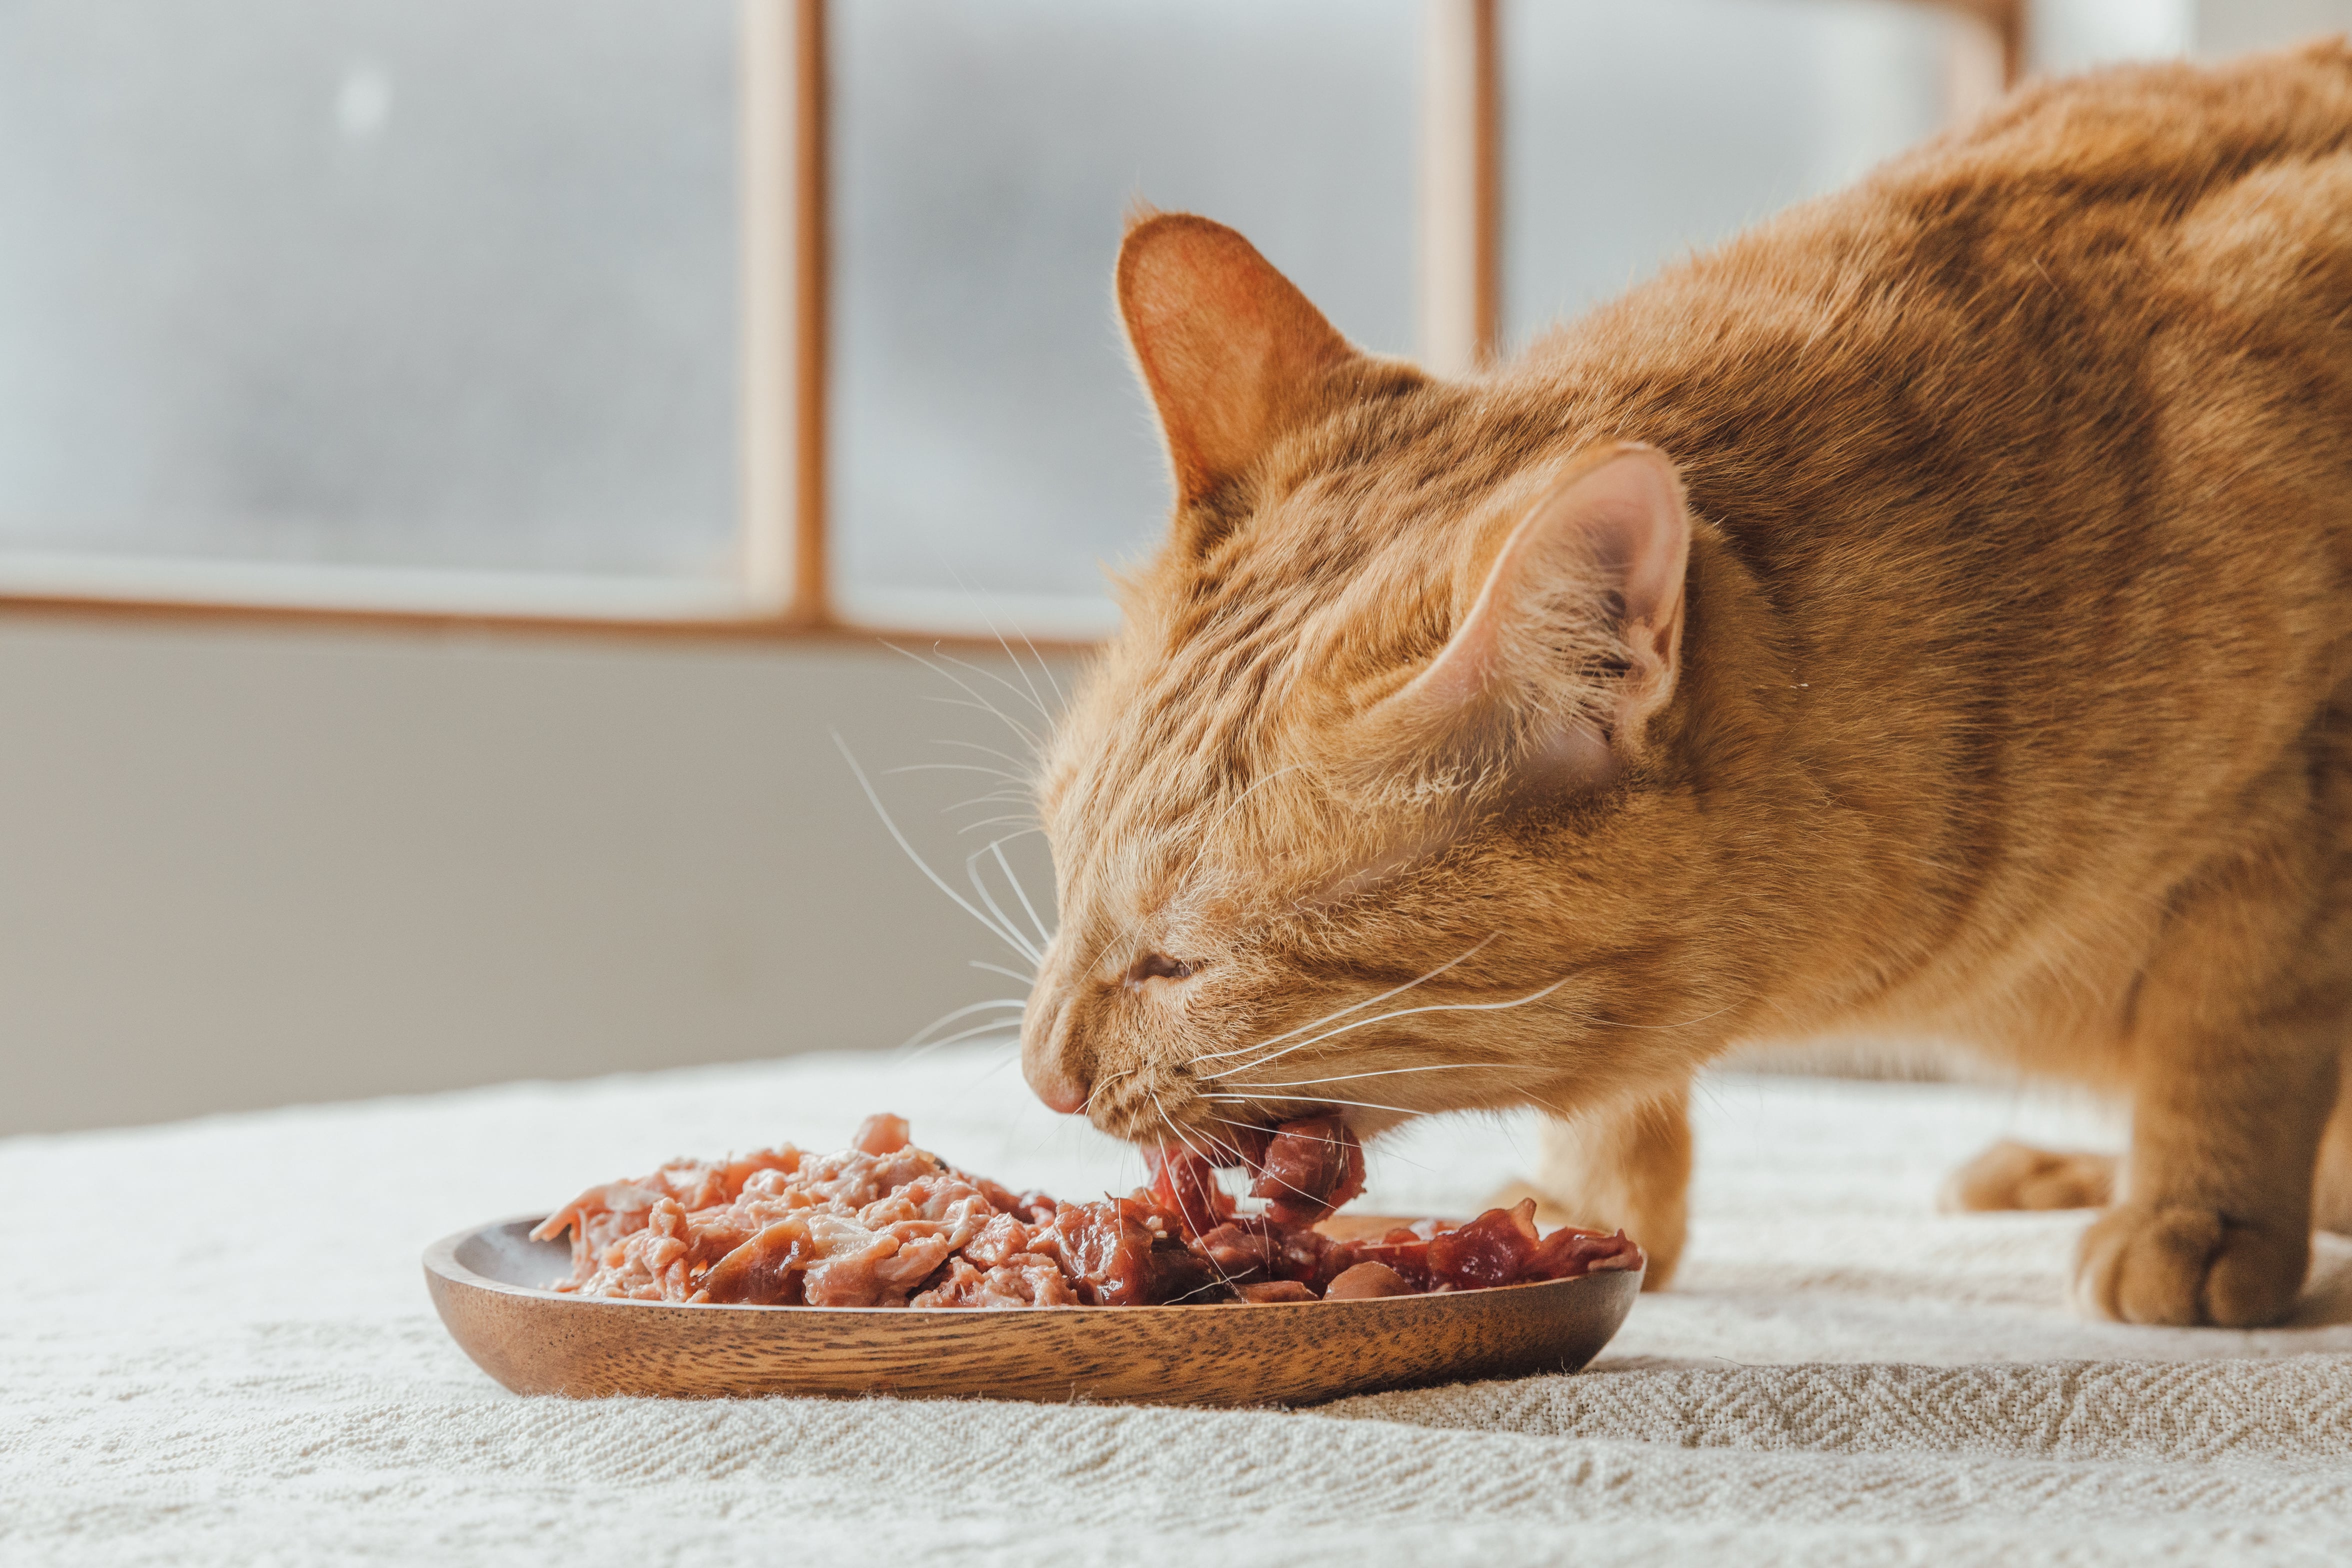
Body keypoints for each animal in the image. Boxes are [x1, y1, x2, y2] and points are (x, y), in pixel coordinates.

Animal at [1020, 46, 2352, 1326]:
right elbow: (1620, 1087)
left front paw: (2200, 1212)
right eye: (1064, 877)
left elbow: (2233, 1034)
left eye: (1181, 964)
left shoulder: (2296, 820)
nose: (1042, 1077)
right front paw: (1589, 1208)